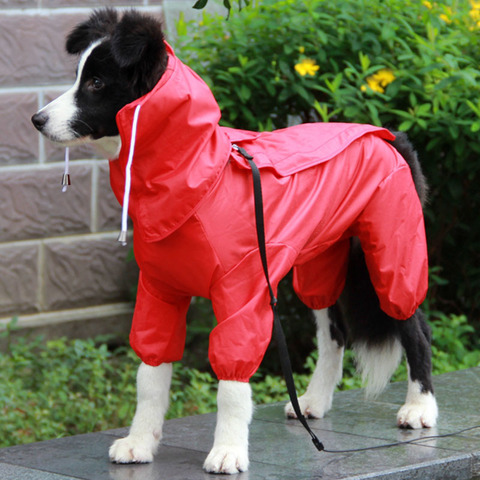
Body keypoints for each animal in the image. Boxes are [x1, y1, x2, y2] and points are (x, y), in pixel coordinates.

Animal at [32, 8, 438, 476]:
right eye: (78, 76)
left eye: (97, 83)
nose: (37, 119)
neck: (195, 177)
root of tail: (390, 135)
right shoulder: (159, 288)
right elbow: (150, 372)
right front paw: (140, 442)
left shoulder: (242, 290)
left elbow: (231, 380)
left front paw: (227, 449)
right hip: (320, 261)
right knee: (332, 331)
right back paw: (314, 401)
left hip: (391, 251)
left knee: (413, 323)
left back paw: (420, 407)